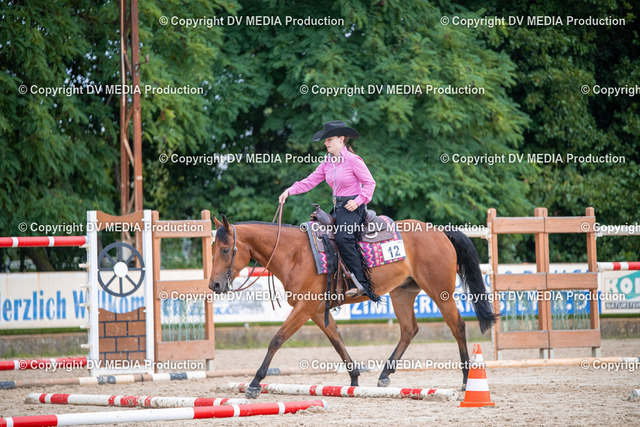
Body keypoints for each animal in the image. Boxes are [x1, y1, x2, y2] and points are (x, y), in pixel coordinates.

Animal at [209, 214, 497, 399]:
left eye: (225, 250)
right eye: (212, 249)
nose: (214, 285)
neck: (294, 253)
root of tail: (439, 231)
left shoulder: (304, 308)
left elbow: (276, 340)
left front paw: (255, 383)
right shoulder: (317, 311)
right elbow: (337, 340)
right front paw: (355, 379)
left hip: (440, 291)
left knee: (457, 325)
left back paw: (466, 379)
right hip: (402, 293)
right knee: (409, 330)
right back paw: (384, 374)